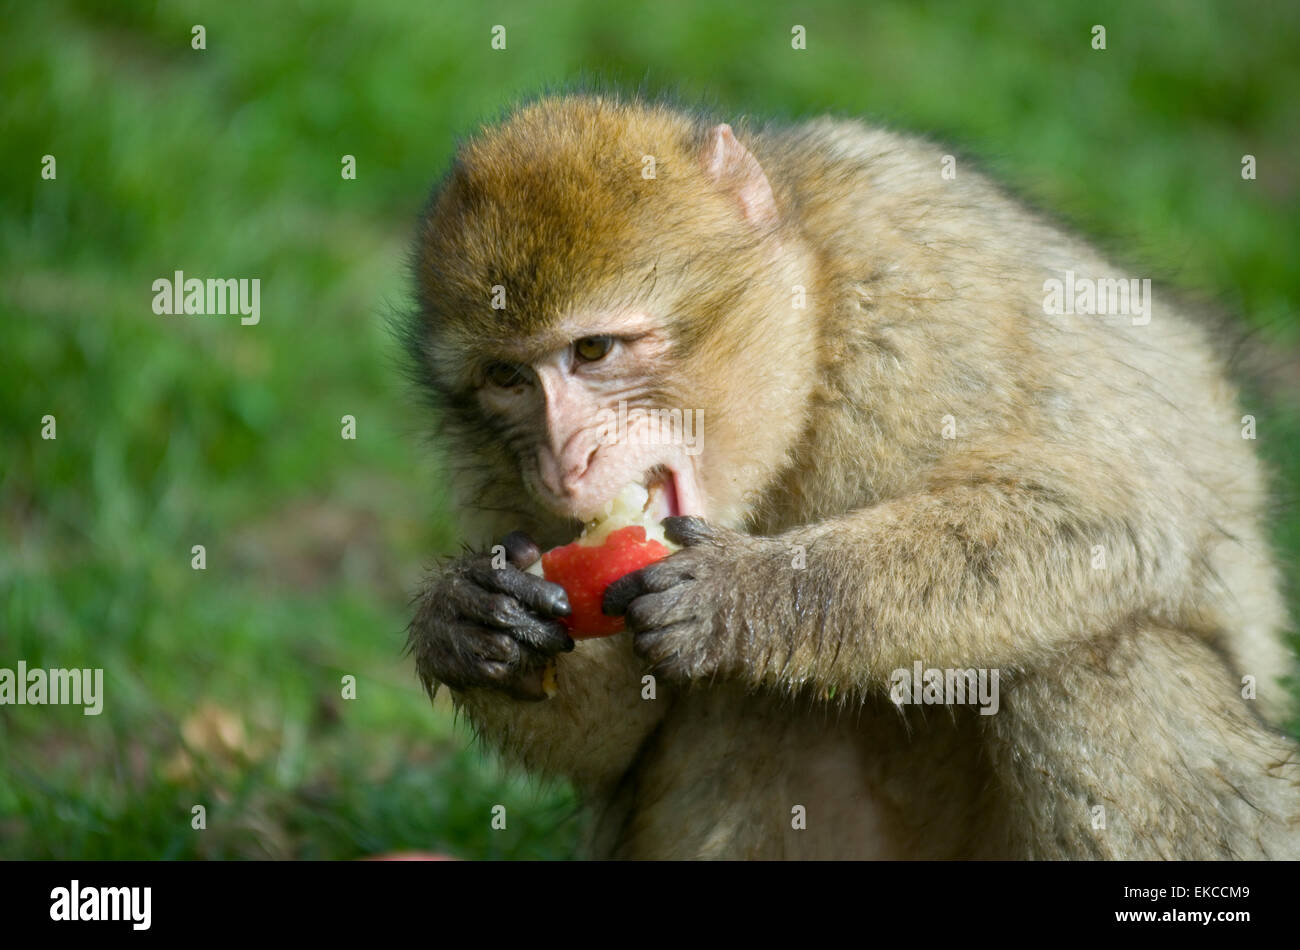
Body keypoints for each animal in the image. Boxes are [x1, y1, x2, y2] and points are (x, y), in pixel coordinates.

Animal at [403, 92, 1300, 859]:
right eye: (507, 380)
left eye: (592, 350)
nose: (563, 462)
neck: (817, 323)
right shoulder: (495, 480)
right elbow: (614, 736)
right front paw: (471, 621)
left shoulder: (915, 306)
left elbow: (1113, 514)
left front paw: (752, 599)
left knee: (1095, 658)